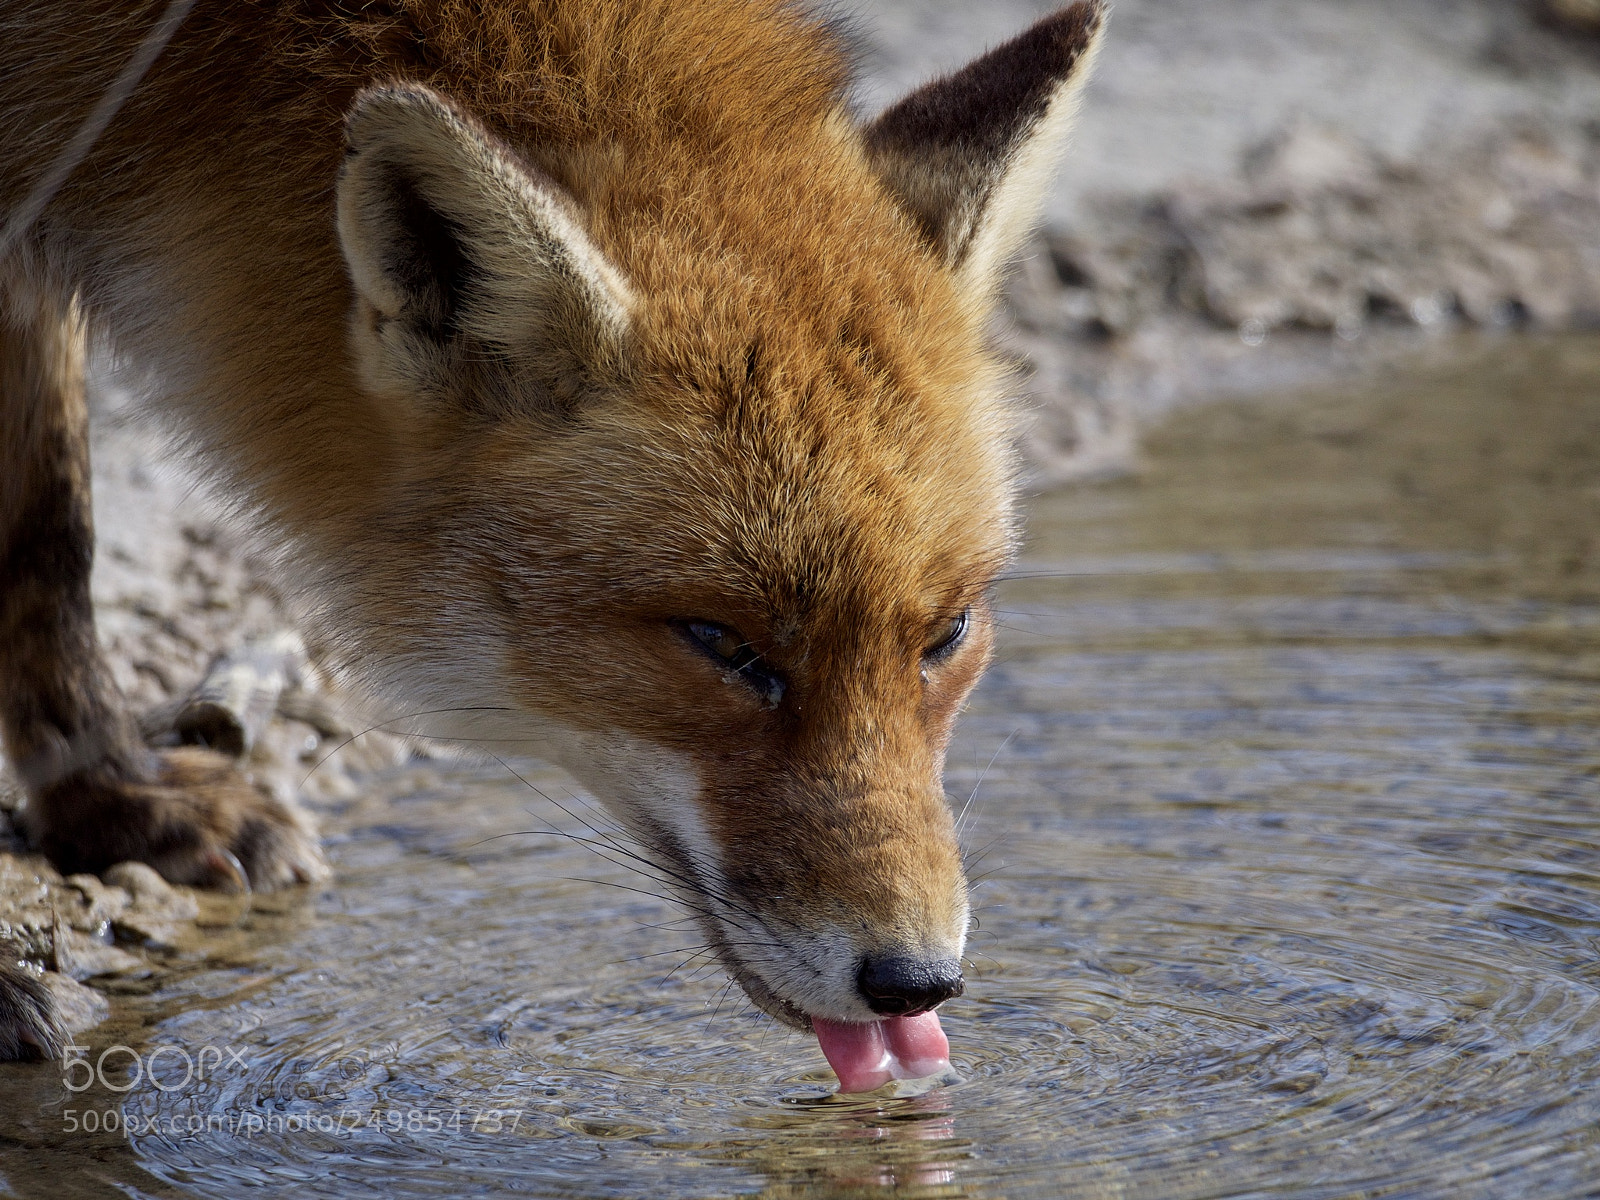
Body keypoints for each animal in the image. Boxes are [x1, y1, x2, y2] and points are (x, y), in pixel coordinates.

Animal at [0, 0, 1103, 1088]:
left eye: (945, 636)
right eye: (721, 642)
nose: (917, 983)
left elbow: (45, 539)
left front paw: (110, 803)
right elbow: (52, 529)